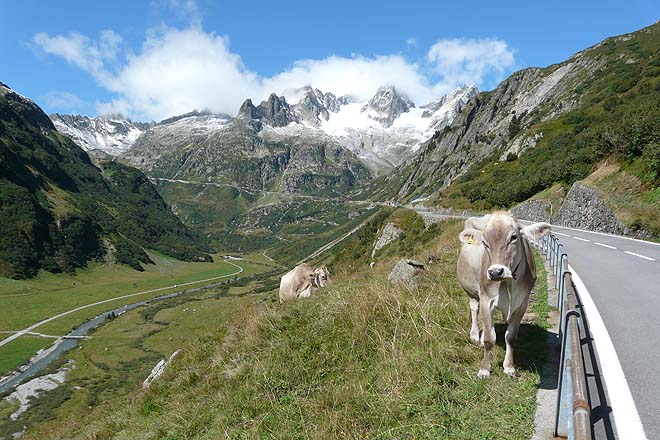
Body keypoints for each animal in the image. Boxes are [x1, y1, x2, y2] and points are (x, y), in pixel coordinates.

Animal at [456, 212, 548, 378]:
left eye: (513, 237)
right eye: (484, 242)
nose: (495, 272)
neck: (508, 282)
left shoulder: (522, 304)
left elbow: (510, 337)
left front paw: (509, 367)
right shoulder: (487, 300)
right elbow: (489, 338)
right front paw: (484, 370)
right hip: (472, 291)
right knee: (474, 308)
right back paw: (474, 335)